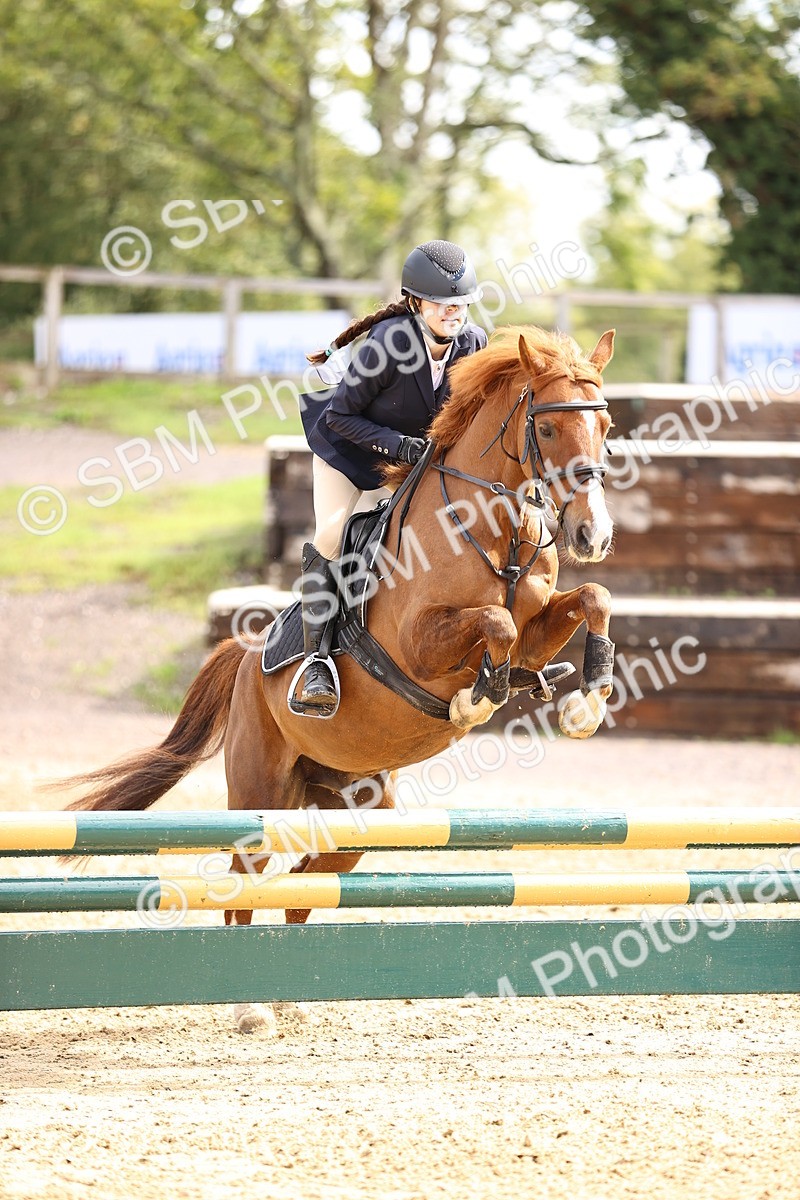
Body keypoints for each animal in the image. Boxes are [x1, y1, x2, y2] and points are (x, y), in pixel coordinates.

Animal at [64, 324, 617, 1033]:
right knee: (247, 871)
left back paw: (286, 994)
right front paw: (474, 701)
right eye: (546, 429)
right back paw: (248, 1005)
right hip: (259, 786)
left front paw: (587, 701)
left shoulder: (538, 628)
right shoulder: (419, 645)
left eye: (605, 424)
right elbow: (493, 622)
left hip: (357, 809)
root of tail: (245, 660)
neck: (493, 530)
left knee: (310, 876)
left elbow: (591, 598)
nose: (593, 533)